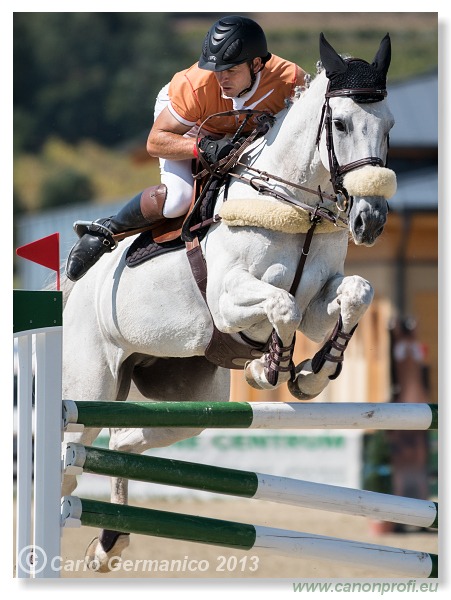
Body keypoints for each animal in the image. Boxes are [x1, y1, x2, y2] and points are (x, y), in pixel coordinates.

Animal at [62, 35, 396, 568]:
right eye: (341, 123)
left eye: (389, 126)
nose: (371, 220)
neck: (295, 206)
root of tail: (75, 290)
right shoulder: (227, 299)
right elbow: (281, 305)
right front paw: (270, 368)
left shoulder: (321, 298)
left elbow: (355, 295)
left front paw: (312, 372)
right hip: (90, 389)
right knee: (68, 463)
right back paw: (89, 245)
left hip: (187, 400)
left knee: (124, 438)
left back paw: (111, 541)